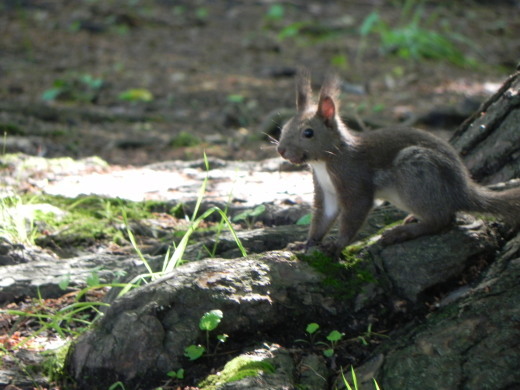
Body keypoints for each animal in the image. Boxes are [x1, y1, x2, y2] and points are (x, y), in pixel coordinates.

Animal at [278, 69, 516, 253]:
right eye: (284, 126)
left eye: (308, 133)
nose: (281, 150)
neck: (325, 161)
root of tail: (461, 189)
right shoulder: (326, 190)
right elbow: (322, 218)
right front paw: (306, 243)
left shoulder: (355, 180)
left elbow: (355, 213)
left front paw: (337, 245)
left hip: (416, 172)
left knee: (442, 219)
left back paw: (404, 232)